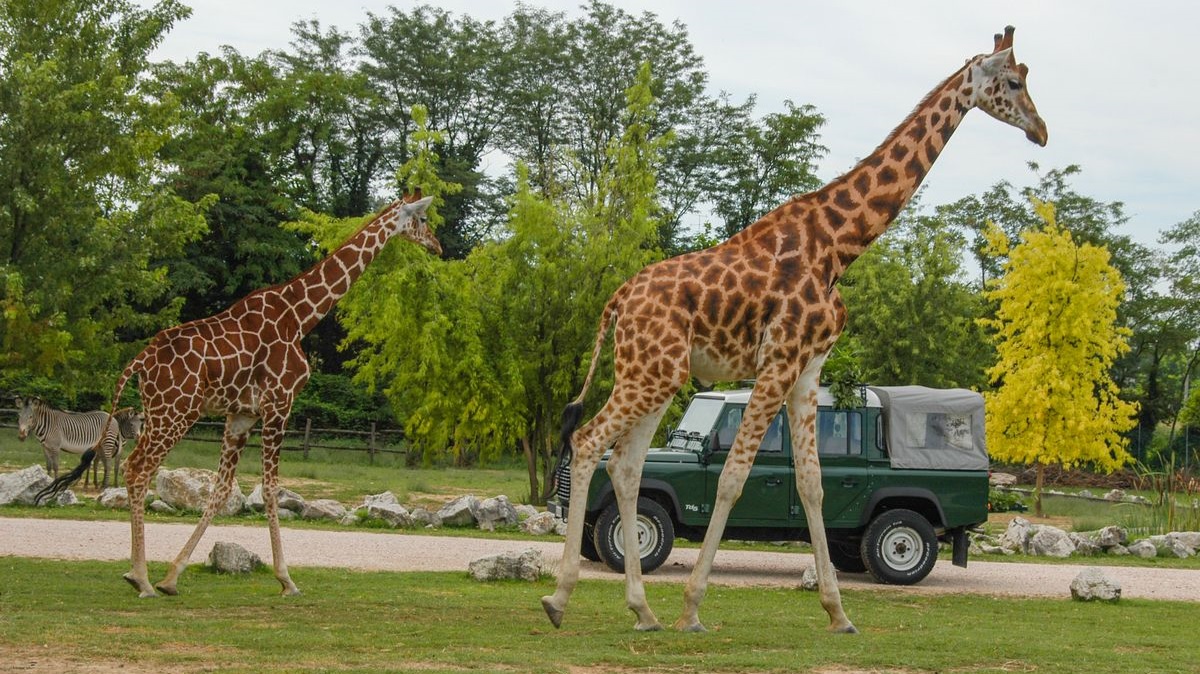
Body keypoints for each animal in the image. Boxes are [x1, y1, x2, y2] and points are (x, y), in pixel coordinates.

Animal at [49, 191, 441, 594]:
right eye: (424, 220)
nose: (437, 246)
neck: (300, 316)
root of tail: (139, 361)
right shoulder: (280, 404)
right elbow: (270, 488)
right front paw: (286, 579)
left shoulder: (241, 414)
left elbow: (222, 489)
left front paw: (173, 576)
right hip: (176, 411)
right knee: (137, 468)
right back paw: (139, 577)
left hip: (159, 411)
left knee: (138, 468)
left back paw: (139, 574)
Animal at [540, 24, 1046, 628]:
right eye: (1013, 82)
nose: (1041, 130)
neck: (838, 248)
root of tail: (616, 300)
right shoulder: (778, 359)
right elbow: (733, 477)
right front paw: (693, 608)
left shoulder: (809, 367)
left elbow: (812, 484)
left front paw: (839, 613)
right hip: (650, 372)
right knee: (589, 441)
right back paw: (559, 599)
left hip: (657, 374)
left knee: (625, 464)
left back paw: (642, 610)